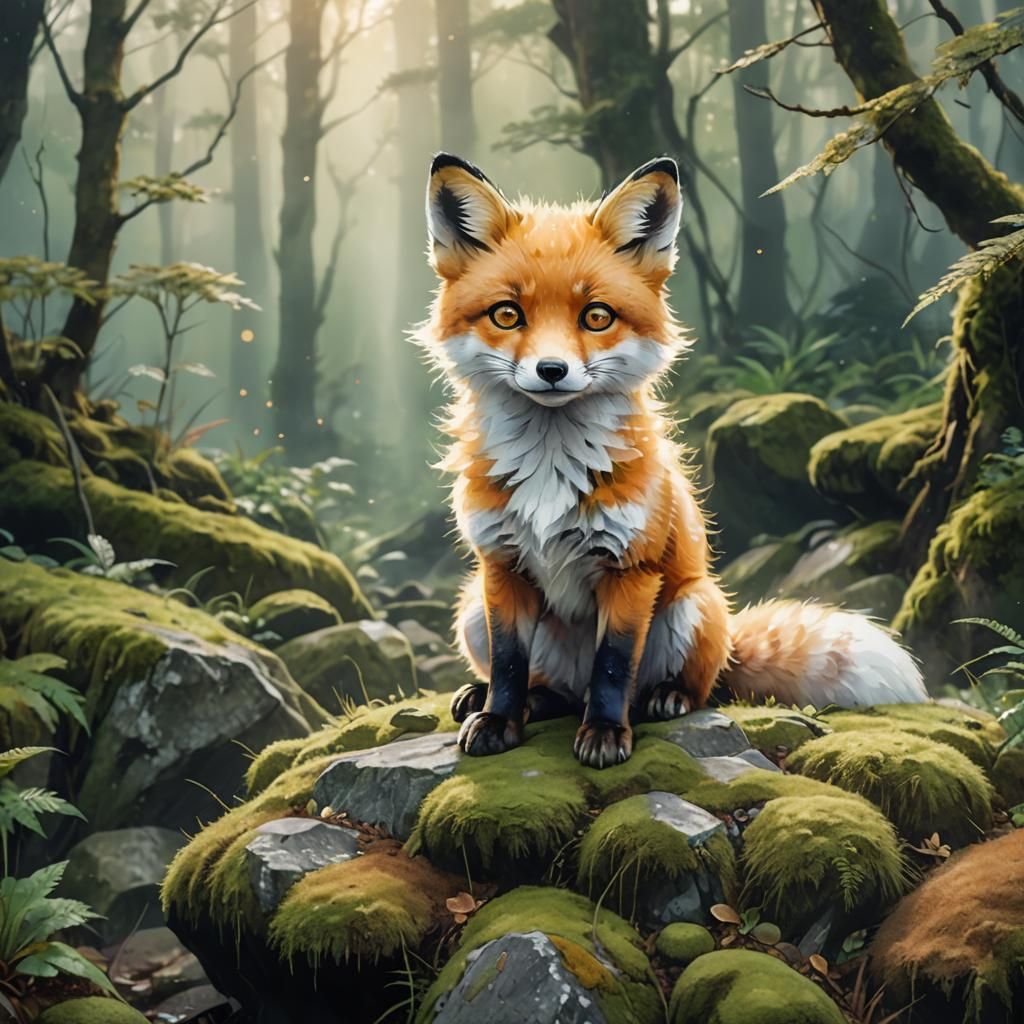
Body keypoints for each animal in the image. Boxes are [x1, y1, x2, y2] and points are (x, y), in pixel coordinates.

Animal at [418, 152, 927, 770]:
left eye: (596, 317)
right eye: (508, 315)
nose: (552, 370)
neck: (550, 468)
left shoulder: (631, 568)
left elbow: (614, 667)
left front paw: (606, 734)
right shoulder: (501, 566)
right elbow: (511, 665)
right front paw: (498, 720)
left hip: (692, 604)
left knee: (686, 686)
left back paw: (667, 698)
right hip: (472, 607)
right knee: (549, 688)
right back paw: (508, 699)